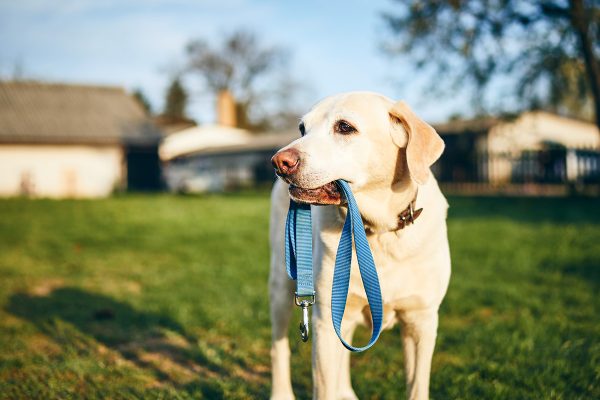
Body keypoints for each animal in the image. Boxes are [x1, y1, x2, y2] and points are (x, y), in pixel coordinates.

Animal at [268, 92, 450, 398]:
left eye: (344, 127)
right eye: (302, 129)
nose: (279, 162)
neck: (378, 232)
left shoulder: (421, 321)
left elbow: (417, 387)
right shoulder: (325, 321)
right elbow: (324, 387)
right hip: (282, 285)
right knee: (279, 348)